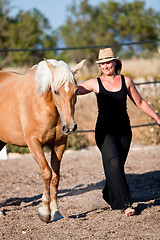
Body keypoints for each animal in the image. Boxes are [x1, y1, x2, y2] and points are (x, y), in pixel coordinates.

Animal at [0, 57, 85, 221]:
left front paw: (56, 211)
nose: (70, 127)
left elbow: (56, 176)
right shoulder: (34, 143)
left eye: (76, 90)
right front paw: (45, 212)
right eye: (55, 91)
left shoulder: (59, 145)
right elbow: (47, 172)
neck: (40, 104)